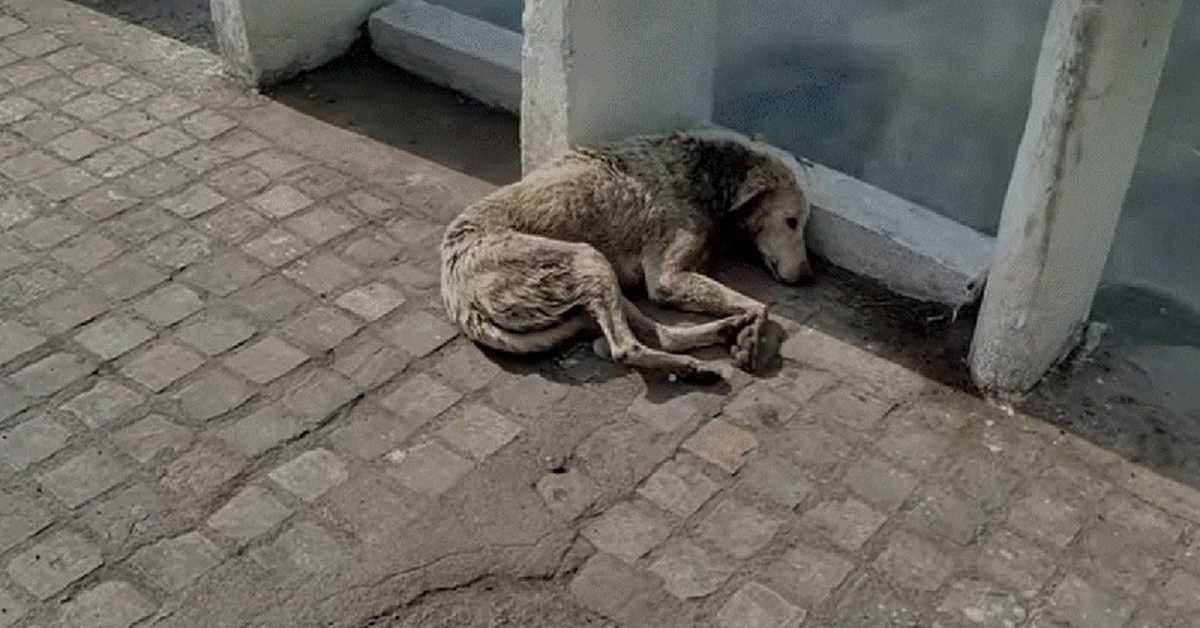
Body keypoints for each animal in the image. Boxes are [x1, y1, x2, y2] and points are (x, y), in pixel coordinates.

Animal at [441, 128, 816, 384]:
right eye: (791, 221)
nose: (808, 278)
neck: (706, 174)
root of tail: (459, 301)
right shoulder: (667, 279)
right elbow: (762, 306)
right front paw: (753, 334)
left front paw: (746, 332)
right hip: (587, 259)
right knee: (624, 348)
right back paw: (690, 364)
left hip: (603, 281)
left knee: (657, 334)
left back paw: (718, 337)